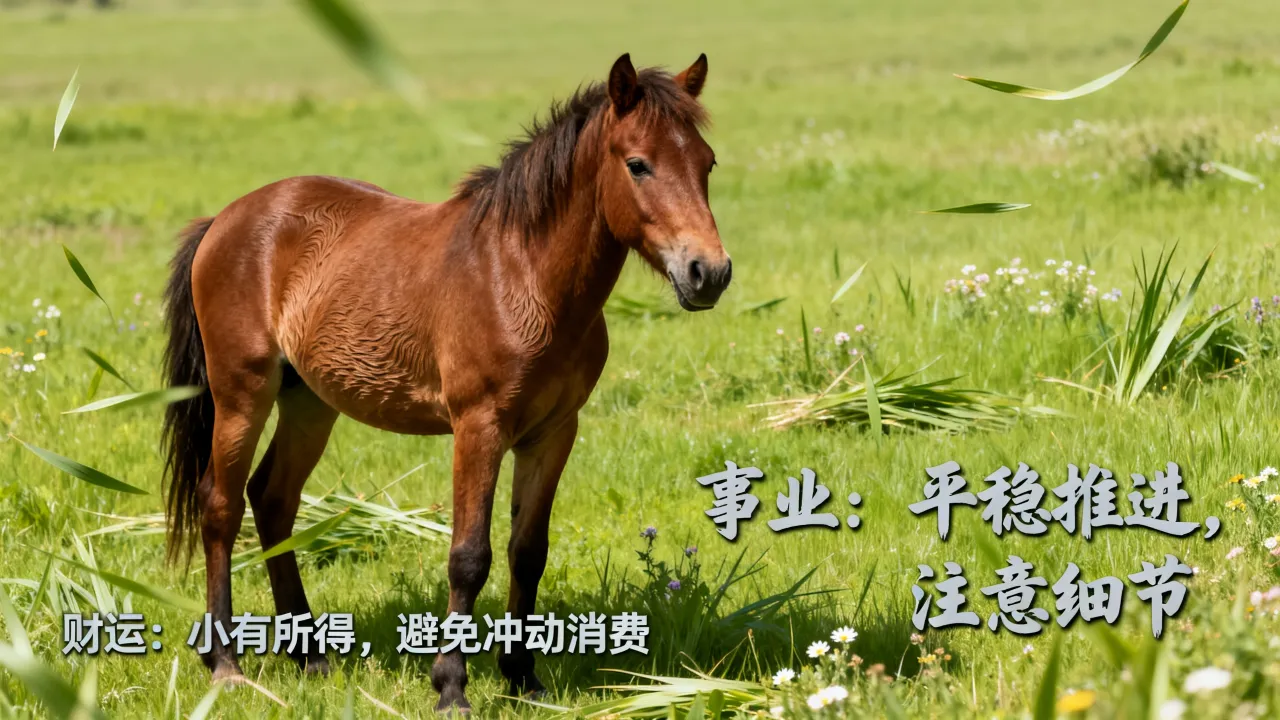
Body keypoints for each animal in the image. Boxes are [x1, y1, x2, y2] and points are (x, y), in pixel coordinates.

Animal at [160, 53, 730, 711]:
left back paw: (311, 656)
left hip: (309, 403)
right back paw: (225, 663)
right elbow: (469, 556)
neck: (523, 278)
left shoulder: (552, 433)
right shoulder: (478, 427)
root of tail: (224, 219)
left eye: (707, 162)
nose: (709, 273)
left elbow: (527, 553)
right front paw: (452, 687)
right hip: (241, 395)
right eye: (638, 164)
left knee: (273, 500)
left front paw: (523, 679)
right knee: (221, 507)